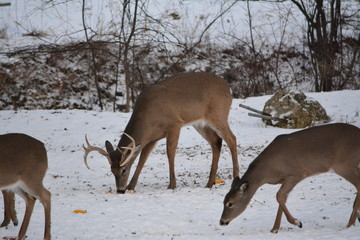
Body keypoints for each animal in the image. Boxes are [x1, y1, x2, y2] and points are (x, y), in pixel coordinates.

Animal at [83, 71, 239, 193]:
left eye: (123, 170)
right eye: (112, 171)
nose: (120, 190)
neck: (149, 117)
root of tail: (228, 88)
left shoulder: (174, 125)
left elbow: (170, 153)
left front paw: (172, 185)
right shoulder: (152, 138)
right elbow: (142, 159)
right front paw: (131, 186)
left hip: (218, 114)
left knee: (232, 138)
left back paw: (235, 177)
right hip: (200, 123)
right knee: (216, 142)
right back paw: (210, 183)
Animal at [219, 123, 360, 233]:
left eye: (230, 203)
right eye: (224, 201)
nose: (221, 221)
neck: (267, 171)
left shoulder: (296, 174)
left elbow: (278, 196)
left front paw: (298, 222)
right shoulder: (286, 179)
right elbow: (282, 198)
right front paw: (274, 229)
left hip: (344, 165)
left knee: (358, 185)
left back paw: (350, 223)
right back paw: (356, 217)